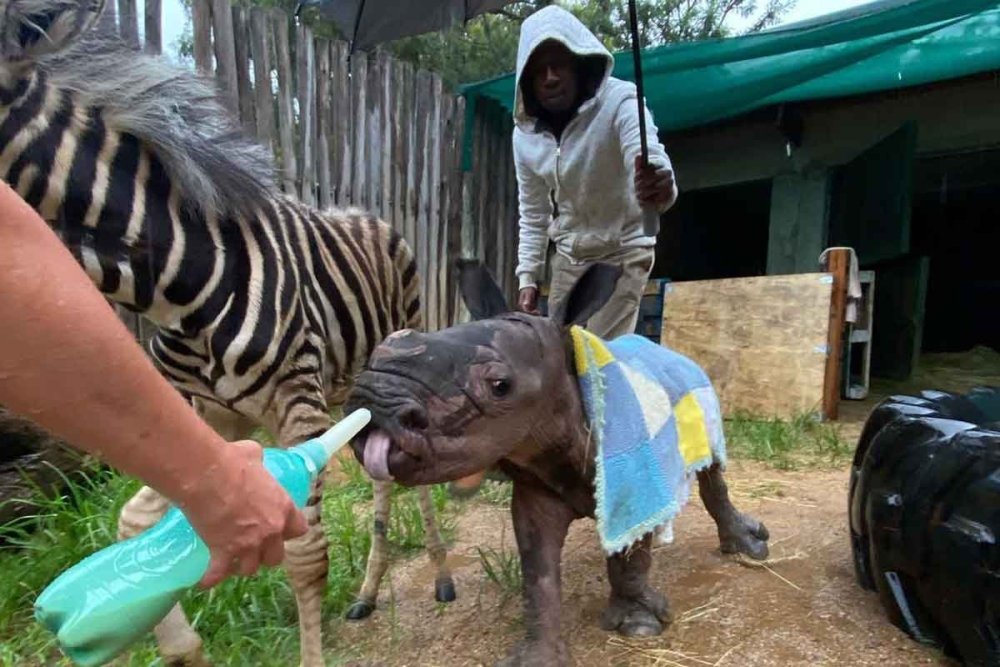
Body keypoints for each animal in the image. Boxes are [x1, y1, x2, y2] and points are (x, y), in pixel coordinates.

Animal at [0, 0, 457, 664]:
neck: (178, 285)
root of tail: (370, 216)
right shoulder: (211, 416)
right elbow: (134, 521)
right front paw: (178, 641)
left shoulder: (297, 409)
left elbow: (305, 557)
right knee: (379, 473)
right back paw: (368, 592)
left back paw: (441, 575)